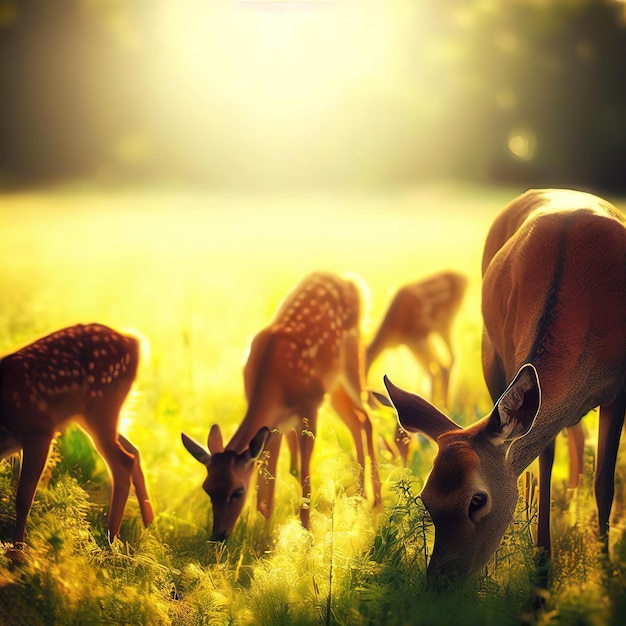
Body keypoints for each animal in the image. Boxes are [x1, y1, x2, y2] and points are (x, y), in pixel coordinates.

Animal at [0, 324, 154, 548]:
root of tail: (132, 341)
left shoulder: (40, 431)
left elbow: (23, 499)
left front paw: (18, 547)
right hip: (92, 416)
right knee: (134, 450)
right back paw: (148, 525)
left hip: (101, 408)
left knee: (123, 462)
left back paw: (110, 541)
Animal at [180, 270, 380, 540]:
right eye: (208, 489)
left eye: (238, 491)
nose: (218, 536)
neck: (276, 382)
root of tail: (350, 281)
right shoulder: (274, 426)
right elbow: (267, 489)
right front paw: (265, 535)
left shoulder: (309, 408)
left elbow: (305, 475)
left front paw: (307, 534)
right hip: (334, 385)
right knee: (355, 420)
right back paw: (359, 496)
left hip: (351, 361)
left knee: (367, 417)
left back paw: (375, 500)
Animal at [364, 272, 466, 464]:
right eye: (385, 437)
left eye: (404, 436)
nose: (401, 462)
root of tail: (464, 277)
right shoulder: (410, 342)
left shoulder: (418, 337)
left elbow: (434, 369)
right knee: (444, 363)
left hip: (444, 324)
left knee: (446, 362)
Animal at [382, 189, 620, 580]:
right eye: (426, 499)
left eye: (477, 500)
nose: (440, 585)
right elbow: (543, 465)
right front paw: (541, 572)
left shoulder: (619, 389)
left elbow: (604, 481)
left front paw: (606, 572)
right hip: (489, 353)